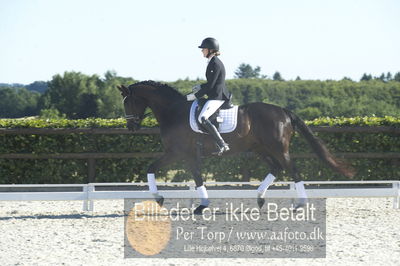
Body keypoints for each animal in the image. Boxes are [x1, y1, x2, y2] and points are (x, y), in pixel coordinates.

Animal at [117, 80, 354, 214]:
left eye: (128, 102)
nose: (131, 127)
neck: (174, 112)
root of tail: (284, 112)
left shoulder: (177, 153)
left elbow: (156, 169)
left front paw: (163, 198)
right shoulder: (186, 155)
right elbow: (195, 176)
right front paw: (199, 204)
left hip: (278, 148)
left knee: (293, 170)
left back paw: (299, 204)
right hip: (260, 149)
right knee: (276, 168)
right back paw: (260, 198)